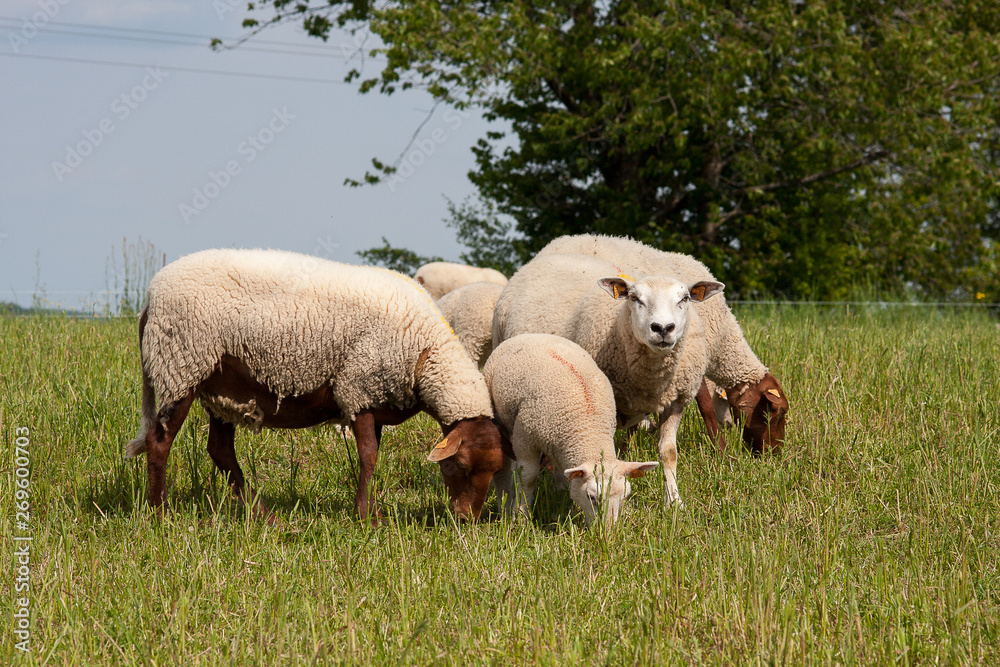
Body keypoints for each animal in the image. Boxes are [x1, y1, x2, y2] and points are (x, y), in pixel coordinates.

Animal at [126, 248, 505, 523]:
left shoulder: (373, 397)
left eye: (495, 471)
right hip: (181, 367)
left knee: (220, 450)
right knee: (159, 442)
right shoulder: (358, 386)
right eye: (460, 466)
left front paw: (369, 511)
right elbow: (369, 455)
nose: (467, 519)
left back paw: (263, 515)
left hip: (220, 388)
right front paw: (366, 517)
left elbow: (371, 455)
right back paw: (161, 513)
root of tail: (150, 298)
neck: (424, 353)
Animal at [483, 333, 659, 526]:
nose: (607, 532)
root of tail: (531, 335)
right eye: (591, 497)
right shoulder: (525, 440)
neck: (589, 428)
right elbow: (528, 478)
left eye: (624, 497)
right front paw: (521, 516)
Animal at [492, 252, 724, 507]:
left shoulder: (676, 400)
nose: (662, 328)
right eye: (634, 298)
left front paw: (674, 501)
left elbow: (669, 452)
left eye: (684, 298)